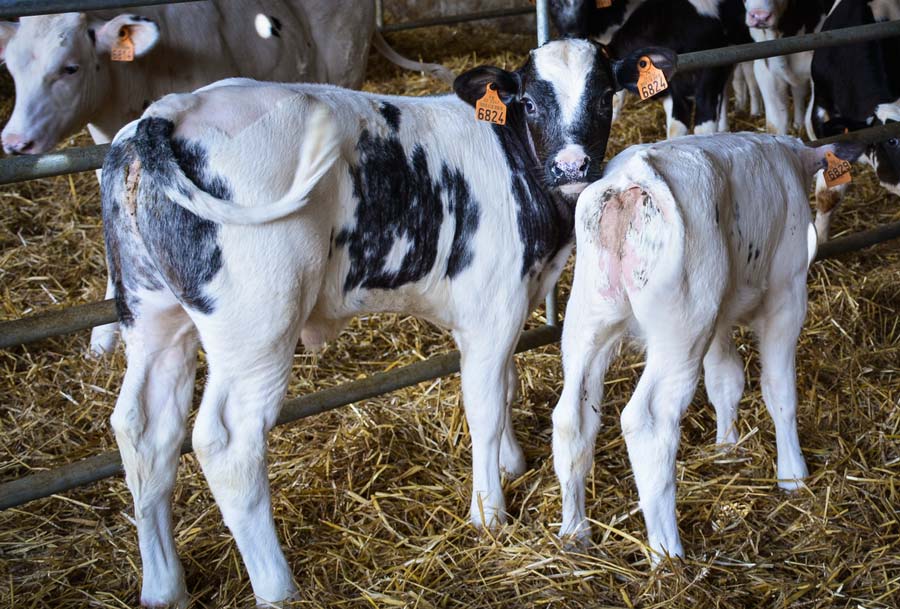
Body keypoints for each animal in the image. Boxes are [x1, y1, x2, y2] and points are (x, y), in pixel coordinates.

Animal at [98, 40, 676, 604]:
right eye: (531, 102)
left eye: (603, 98)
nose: (573, 166)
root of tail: (172, 110)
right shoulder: (492, 309)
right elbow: (485, 408)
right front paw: (489, 512)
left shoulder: (503, 308)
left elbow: (507, 384)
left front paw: (510, 463)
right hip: (257, 326)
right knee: (227, 442)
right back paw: (279, 588)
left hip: (154, 314)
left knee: (143, 429)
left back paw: (164, 588)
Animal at [552, 133, 860, 560]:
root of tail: (635, 177)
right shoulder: (787, 295)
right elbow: (779, 389)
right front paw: (793, 475)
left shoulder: (720, 316)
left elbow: (725, 379)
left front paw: (727, 446)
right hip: (681, 330)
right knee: (647, 421)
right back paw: (667, 553)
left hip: (589, 322)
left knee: (572, 419)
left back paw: (574, 532)